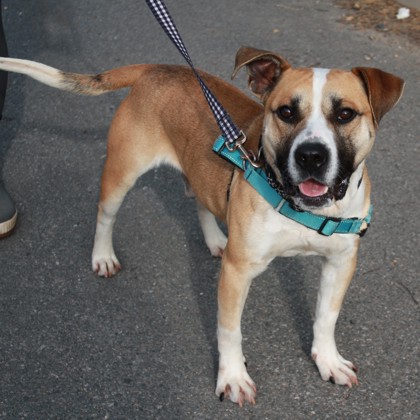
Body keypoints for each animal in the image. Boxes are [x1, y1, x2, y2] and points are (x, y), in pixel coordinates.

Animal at [0, 47, 404, 405]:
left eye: (345, 114)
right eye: (286, 112)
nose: (311, 156)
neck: (296, 203)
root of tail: (158, 68)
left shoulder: (340, 263)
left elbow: (326, 317)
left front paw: (327, 360)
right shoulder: (237, 273)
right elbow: (229, 330)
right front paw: (233, 377)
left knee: (199, 199)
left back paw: (214, 239)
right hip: (121, 173)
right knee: (105, 214)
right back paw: (103, 256)